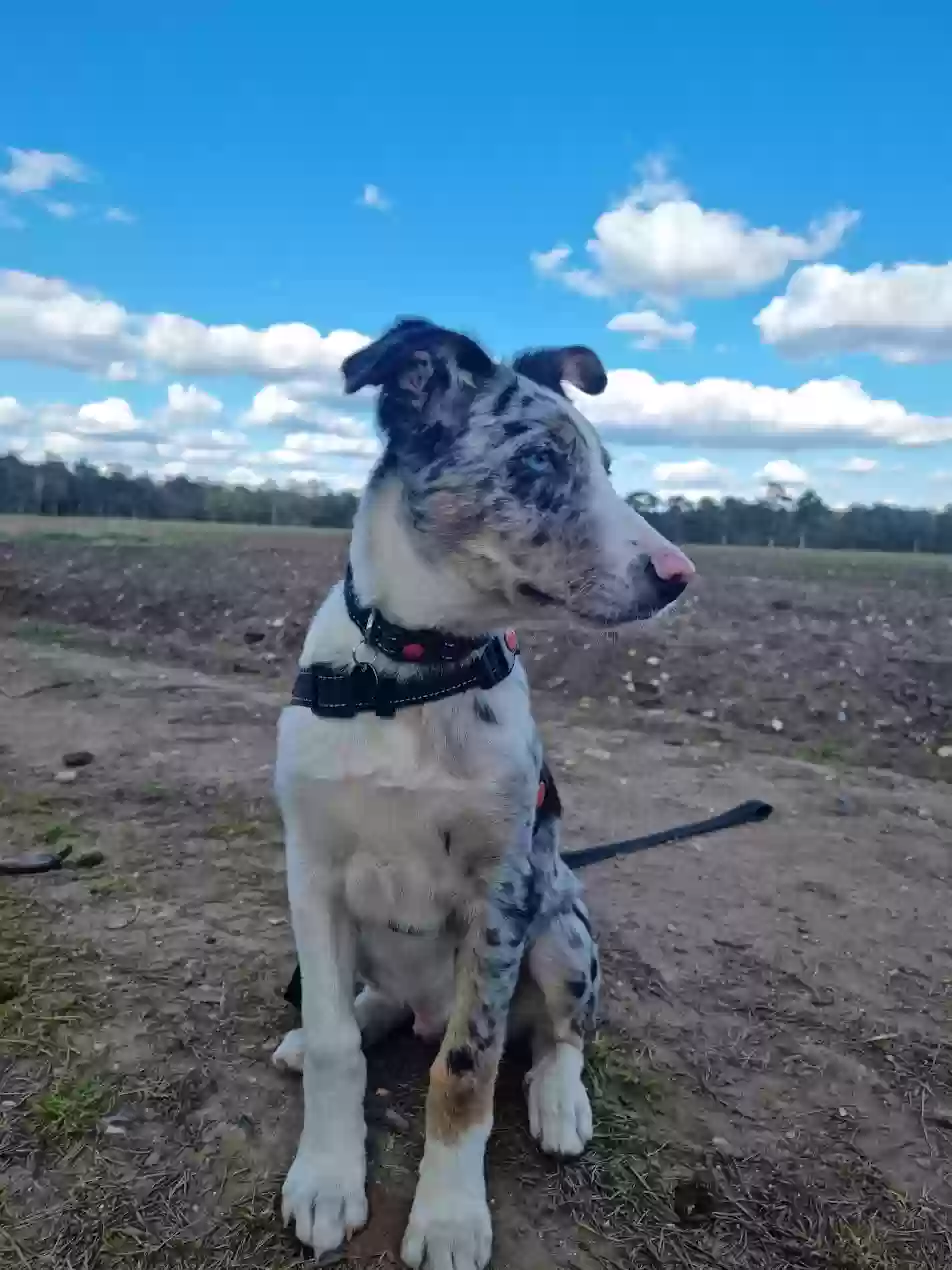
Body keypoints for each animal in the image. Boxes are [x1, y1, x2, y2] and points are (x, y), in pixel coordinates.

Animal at [269, 317, 695, 1270]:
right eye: (538, 460)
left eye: (606, 465)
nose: (680, 575)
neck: (412, 674)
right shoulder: (311, 876)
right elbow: (335, 1046)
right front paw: (326, 1178)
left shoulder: (498, 895)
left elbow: (468, 1068)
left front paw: (451, 1218)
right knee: (369, 1012)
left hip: (561, 920)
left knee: (560, 1034)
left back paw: (558, 1100)